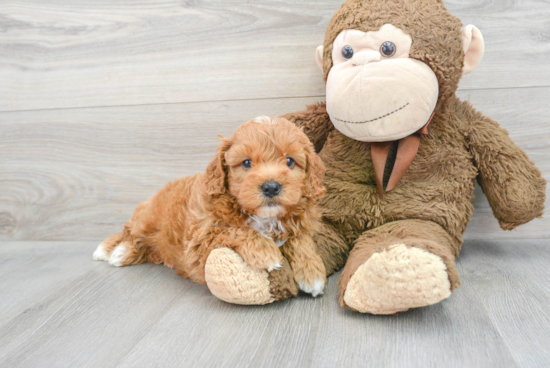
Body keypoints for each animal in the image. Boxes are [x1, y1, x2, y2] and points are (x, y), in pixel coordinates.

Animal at [93, 116, 330, 298]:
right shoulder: (200, 242)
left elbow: (300, 240)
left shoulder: (298, 222)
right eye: (246, 163)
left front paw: (312, 272)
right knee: (129, 232)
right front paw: (266, 251)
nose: (271, 187)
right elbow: (235, 229)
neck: (264, 217)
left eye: (290, 161)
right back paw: (118, 251)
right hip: (147, 218)